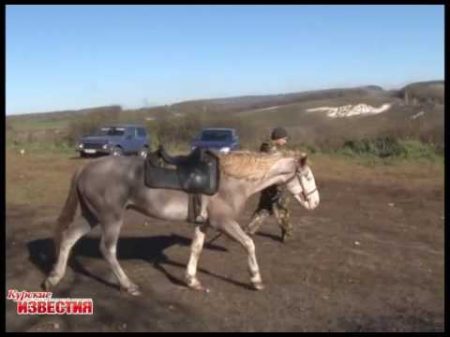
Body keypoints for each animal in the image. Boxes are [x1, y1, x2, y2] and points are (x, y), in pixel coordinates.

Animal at [41, 150, 316, 294]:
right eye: (307, 177)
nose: (314, 202)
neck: (230, 180)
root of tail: (85, 168)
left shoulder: (204, 224)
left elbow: (196, 249)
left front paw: (191, 280)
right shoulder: (224, 222)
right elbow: (249, 244)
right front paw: (256, 280)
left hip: (92, 215)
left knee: (68, 238)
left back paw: (53, 278)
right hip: (111, 217)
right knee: (107, 250)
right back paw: (128, 285)